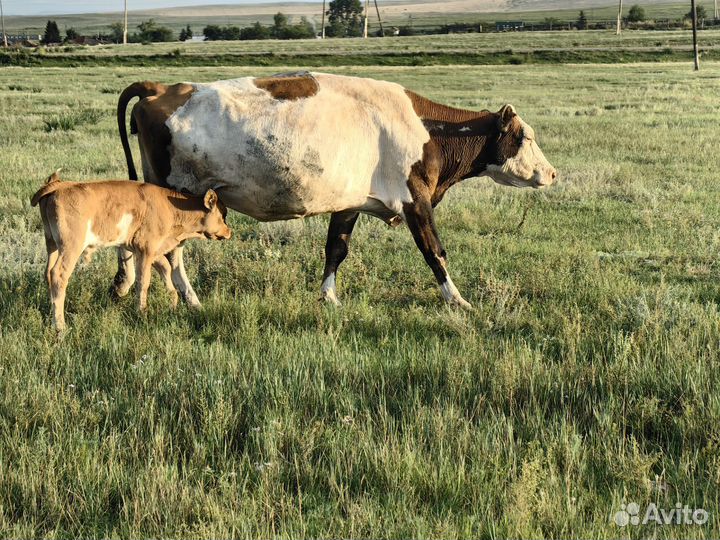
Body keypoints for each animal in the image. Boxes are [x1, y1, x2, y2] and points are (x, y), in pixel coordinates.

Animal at [31, 171, 231, 332]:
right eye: (223, 215)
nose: (229, 231)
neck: (172, 207)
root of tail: (61, 185)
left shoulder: (150, 250)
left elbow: (166, 269)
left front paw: (172, 303)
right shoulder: (146, 249)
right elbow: (143, 281)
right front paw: (141, 312)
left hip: (52, 244)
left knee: (48, 273)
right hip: (71, 246)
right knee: (58, 275)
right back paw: (60, 326)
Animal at [116, 71, 556, 308]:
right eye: (525, 137)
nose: (552, 174)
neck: (429, 129)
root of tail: (163, 88)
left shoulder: (351, 201)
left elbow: (336, 249)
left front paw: (328, 296)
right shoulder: (415, 200)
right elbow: (435, 251)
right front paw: (457, 299)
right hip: (176, 192)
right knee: (172, 250)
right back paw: (189, 296)